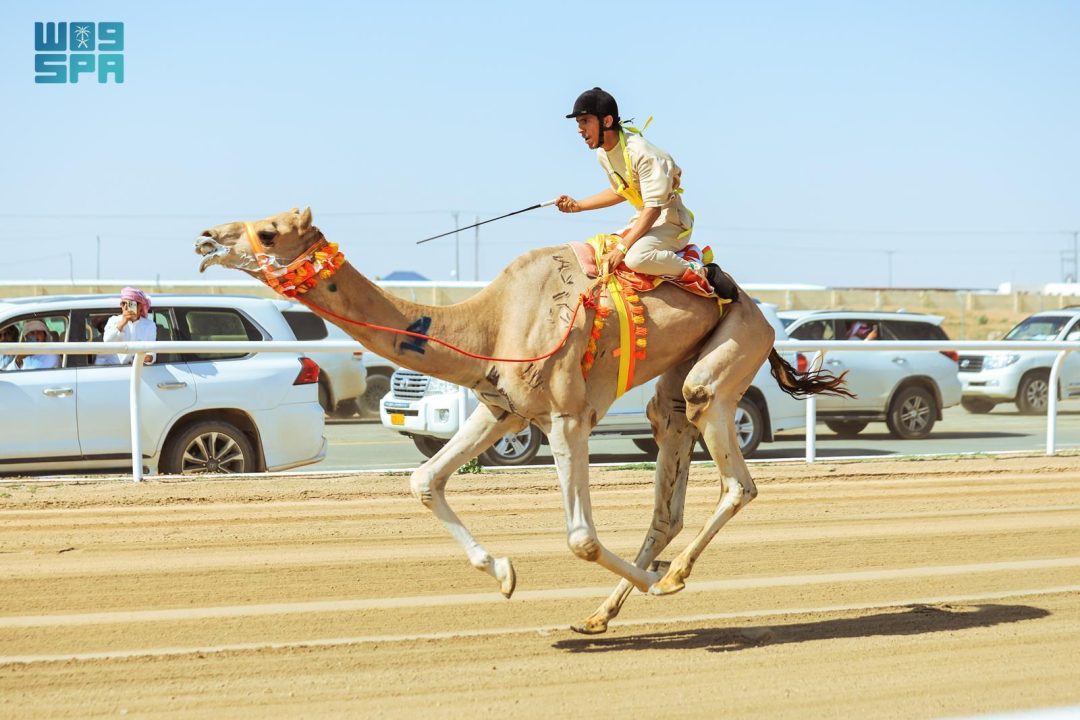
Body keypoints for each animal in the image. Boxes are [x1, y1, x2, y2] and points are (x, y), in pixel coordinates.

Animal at [195, 207, 847, 634]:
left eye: (269, 230)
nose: (205, 237)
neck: (488, 324)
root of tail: (761, 313)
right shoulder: (500, 410)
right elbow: (423, 480)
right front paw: (505, 573)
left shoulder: (567, 415)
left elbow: (581, 538)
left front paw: (659, 584)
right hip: (673, 390)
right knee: (668, 486)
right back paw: (601, 614)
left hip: (730, 354)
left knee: (734, 470)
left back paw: (670, 576)